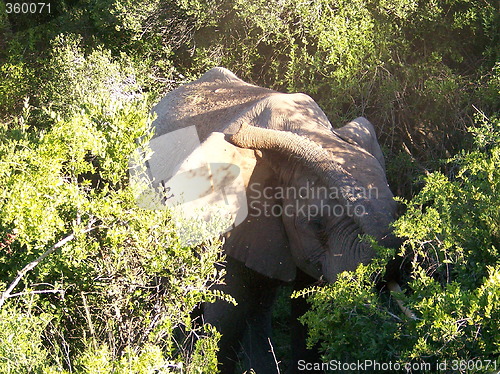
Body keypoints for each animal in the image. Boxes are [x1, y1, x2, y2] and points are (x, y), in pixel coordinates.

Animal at [146, 68, 402, 374]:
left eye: (397, 211)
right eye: (315, 223)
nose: (238, 133)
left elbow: (308, 314)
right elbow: (227, 317)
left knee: (261, 304)